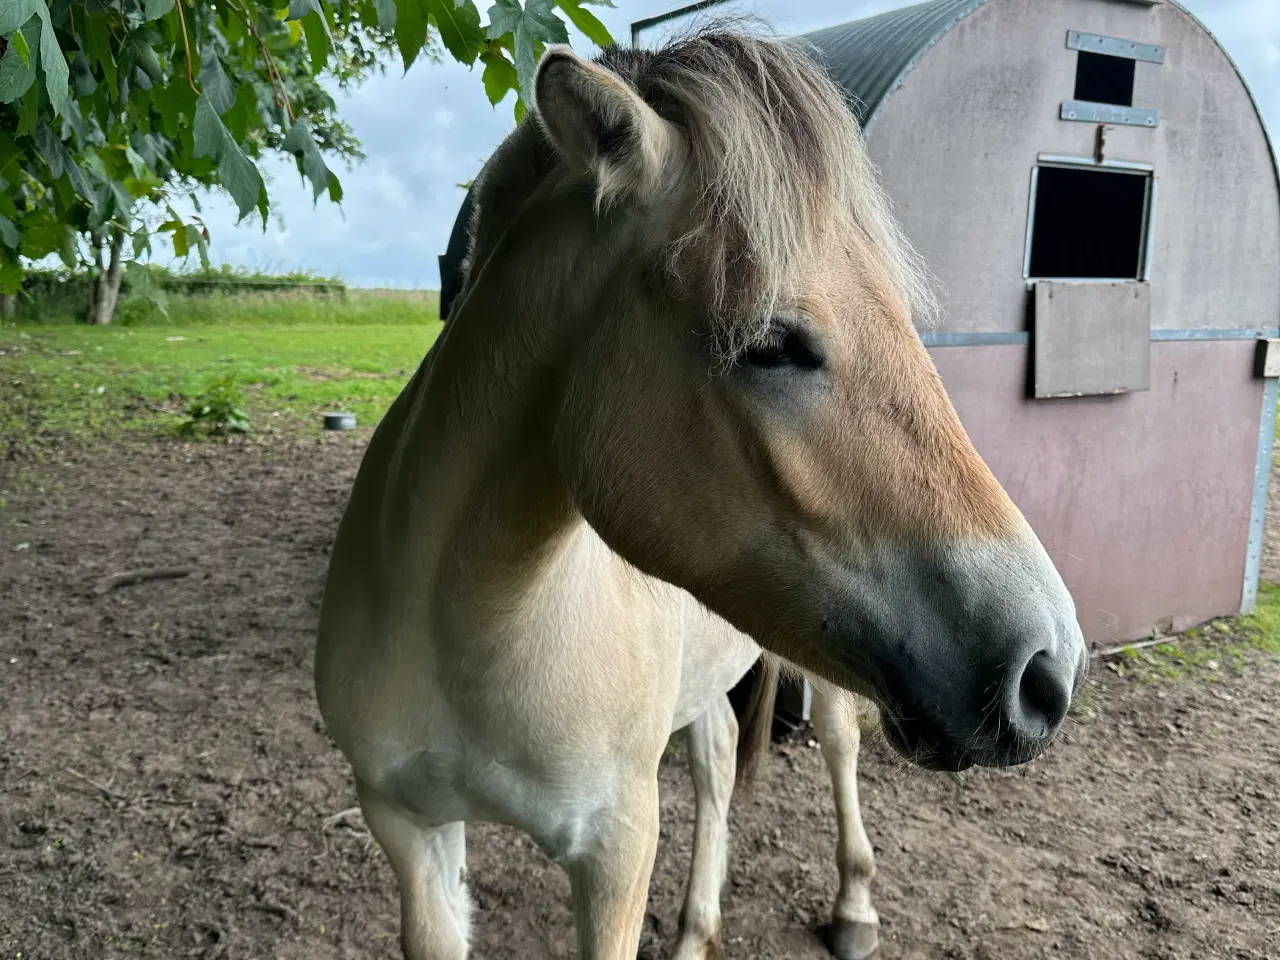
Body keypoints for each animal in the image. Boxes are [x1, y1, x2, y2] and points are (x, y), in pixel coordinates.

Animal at [314, 26, 1085, 957]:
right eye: (770, 343)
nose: (1048, 667)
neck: (472, 624)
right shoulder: (410, 832)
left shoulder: (615, 852)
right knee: (717, 759)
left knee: (836, 743)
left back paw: (854, 908)